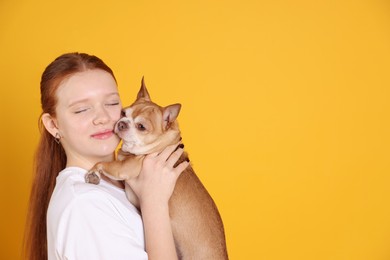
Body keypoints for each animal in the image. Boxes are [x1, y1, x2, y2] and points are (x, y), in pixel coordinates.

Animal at [84, 79, 227, 260]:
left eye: (141, 127)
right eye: (123, 113)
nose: (122, 123)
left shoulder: (126, 167)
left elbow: (102, 163)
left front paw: (93, 172)